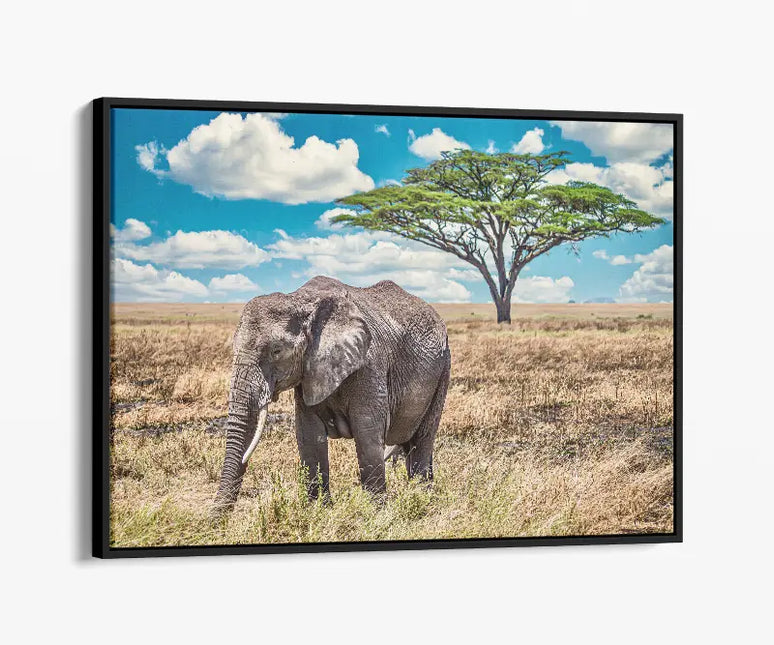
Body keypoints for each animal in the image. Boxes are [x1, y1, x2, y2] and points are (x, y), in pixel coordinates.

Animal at [212, 276, 451, 515]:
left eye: (276, 351)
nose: (216, 519)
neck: (300, 300)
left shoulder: (370, 364)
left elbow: (367, 432)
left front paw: (376, 514)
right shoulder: (308, 373)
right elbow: (309, 435)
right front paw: (319, 510)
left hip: (443, 369)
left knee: (422, 439)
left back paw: (421, 497)